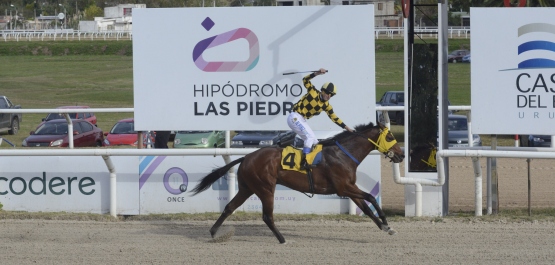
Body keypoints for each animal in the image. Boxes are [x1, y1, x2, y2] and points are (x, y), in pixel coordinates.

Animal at [191, 120, 404, 242]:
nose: (401, 155)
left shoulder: (349, 188)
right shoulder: (343, 188)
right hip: (265, 188)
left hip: (246, 188)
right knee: (267, 216)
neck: (343, 154)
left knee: (229, 207)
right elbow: (371, 198)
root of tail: (246, 157)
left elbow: (367, 207)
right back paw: (283, 239)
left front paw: (387, 228)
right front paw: (387, 223)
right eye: (390, 136)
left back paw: (214, 232)